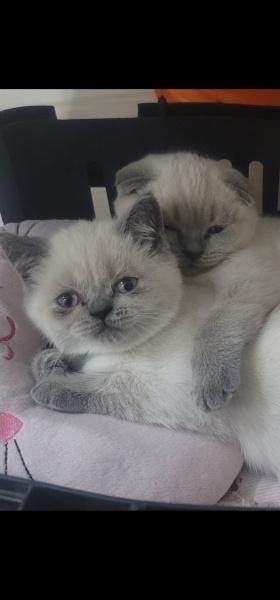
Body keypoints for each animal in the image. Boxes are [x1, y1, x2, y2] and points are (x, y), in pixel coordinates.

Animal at [115, 150, 280, 412]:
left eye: (215, 229)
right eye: (170, 227)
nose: (193, 252)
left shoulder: (250, 280)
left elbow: (213, 327)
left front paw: (210, 384)